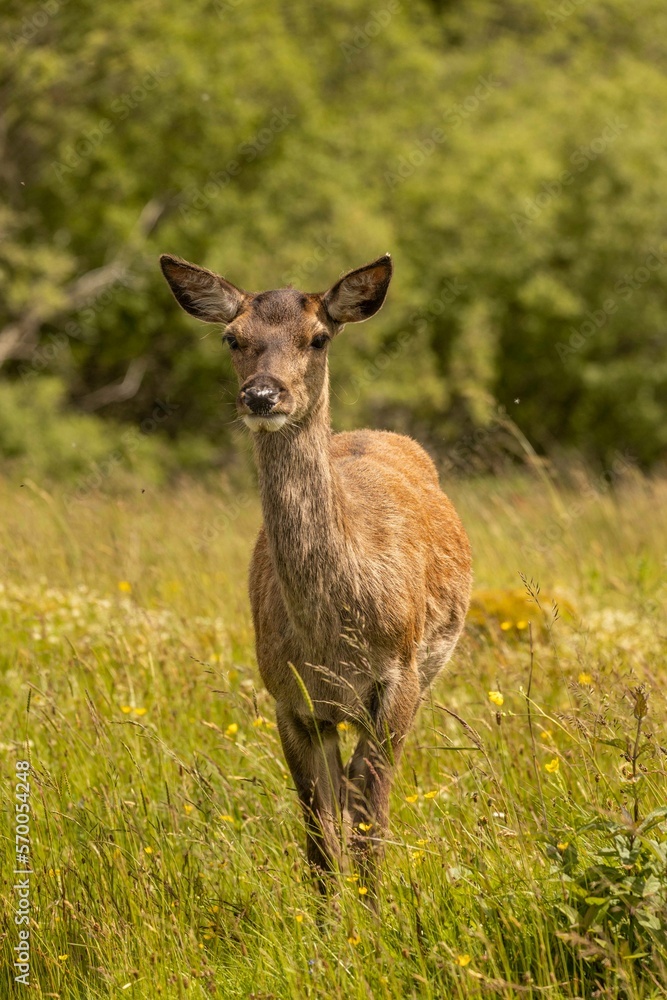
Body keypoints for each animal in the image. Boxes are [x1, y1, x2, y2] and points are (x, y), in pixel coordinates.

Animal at [160, 251, 472, 896]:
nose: (261, 395)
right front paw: (330, 920)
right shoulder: (290, 697)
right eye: (232, 337)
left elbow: (370, 825)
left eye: (319, 337)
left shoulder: (399, 678)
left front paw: (375, 916)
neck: (333, 637)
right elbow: (319, 840)